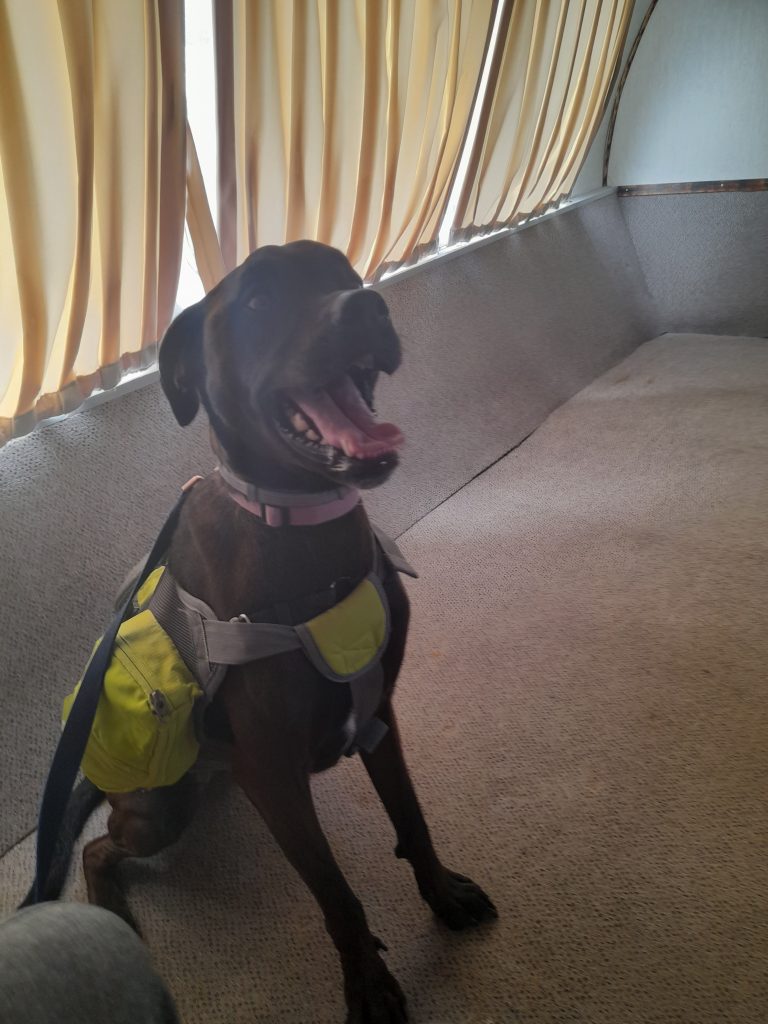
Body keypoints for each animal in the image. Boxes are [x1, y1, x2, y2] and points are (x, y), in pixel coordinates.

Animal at [66, 241, 495, 1024]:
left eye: (343, 275)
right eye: (258, 302)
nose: (368, 307)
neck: (301, 528)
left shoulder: (379, 718)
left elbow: (412, 820)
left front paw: (442, 894)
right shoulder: (273, 776)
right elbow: (338, 899)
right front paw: (370, 988)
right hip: (159, 809)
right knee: (97, 849)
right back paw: (109, 903)